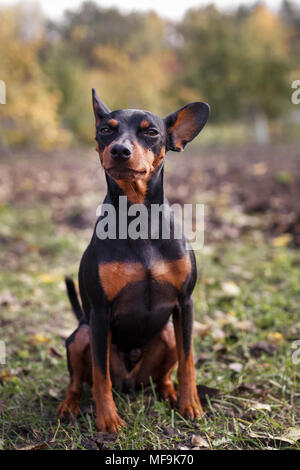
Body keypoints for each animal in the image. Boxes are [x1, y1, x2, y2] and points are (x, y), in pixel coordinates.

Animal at [57, 89, 210, 434]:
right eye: (105, 130)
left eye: (151, 132)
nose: (120, 150)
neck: (138, 218)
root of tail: (129, 381)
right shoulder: (100, 313)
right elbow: (100, 375)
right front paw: (108, 420)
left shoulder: (185, 302)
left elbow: (188, 360)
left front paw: (191, 404)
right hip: (83, 333)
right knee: (79, 381)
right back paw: (69, 406)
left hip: (166, 334)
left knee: (164, 373)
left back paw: (170, 394)